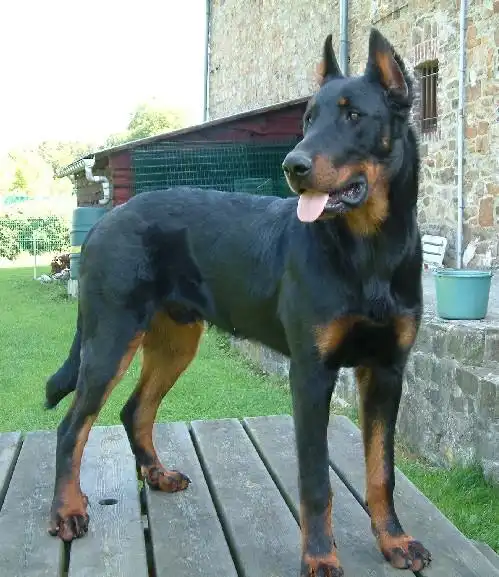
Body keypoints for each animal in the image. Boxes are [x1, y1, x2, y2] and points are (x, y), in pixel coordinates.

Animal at [45, 28, 430, 576]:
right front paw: (320, 556)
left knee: (134, 411)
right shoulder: (311, 373)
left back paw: (157, 476)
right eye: (308, 119)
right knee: (71, 428)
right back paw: (67, 512)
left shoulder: (387, 370)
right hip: (110, 340)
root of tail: (103, 222)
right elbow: (316, 480)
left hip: (175, 341)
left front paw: (394, 540)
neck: (368, 251)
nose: (293, 166)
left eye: (354, 115)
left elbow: (383, 471)